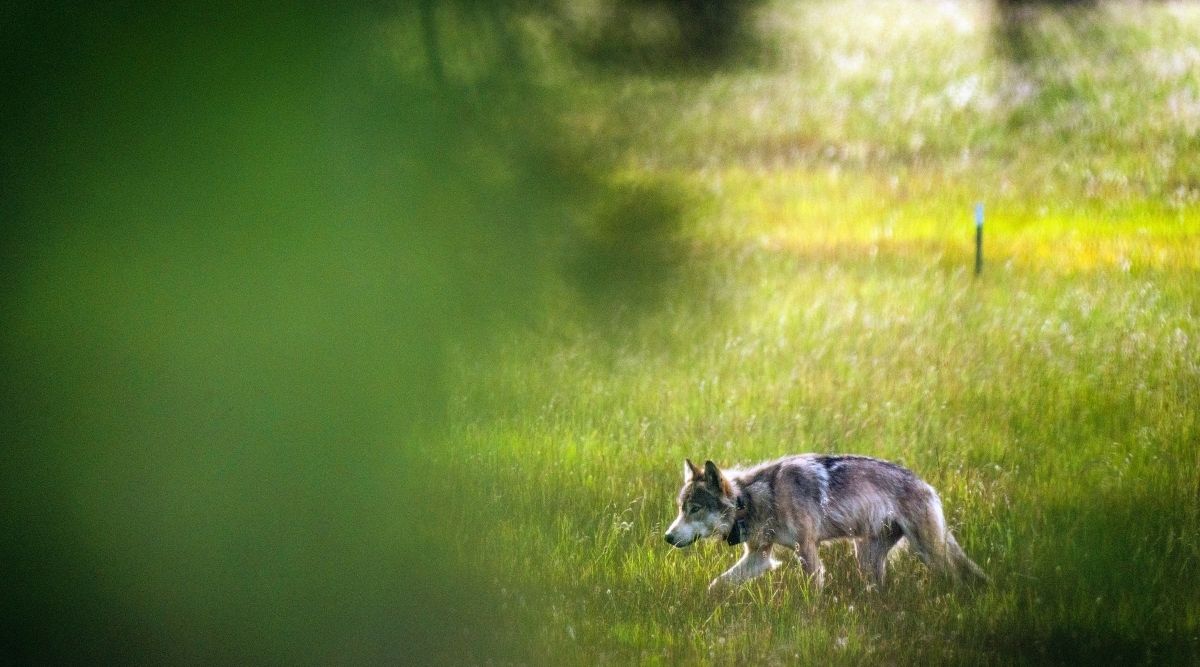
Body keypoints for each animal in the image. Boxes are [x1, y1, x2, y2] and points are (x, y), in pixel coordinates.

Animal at [664, 455, 987, 592]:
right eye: (681, 509)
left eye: (694, 509)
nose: (667, 537)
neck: (752, 500)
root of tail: (927, 486)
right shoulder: (760, 557)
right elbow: (715, 585)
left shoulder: (806, 549)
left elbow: (813, 592)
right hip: (866, 559)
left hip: (929, 553)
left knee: (957, 576)